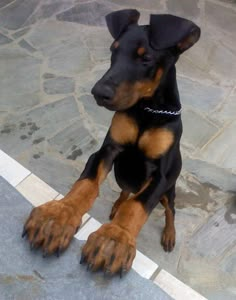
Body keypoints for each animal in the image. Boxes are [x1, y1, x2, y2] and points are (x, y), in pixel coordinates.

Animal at [22, 9, 201, 276]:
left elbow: (137, 206)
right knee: (126, 191)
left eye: (146, 58)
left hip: (169, 190)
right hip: (121, 174)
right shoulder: (108, 150)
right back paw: (115, 205)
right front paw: (58, 216)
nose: (99, 92)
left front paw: (114, 238)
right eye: (113, 50)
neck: (146, 109)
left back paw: (169, 234)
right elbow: (86, 184)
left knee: (170, 210)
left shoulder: (159, 174)